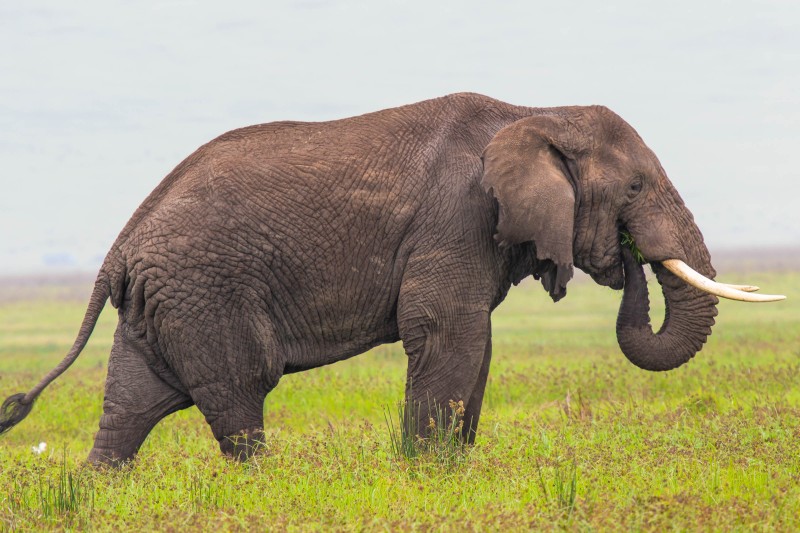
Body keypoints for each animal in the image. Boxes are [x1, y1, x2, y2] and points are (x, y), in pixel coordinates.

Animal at [0, 92, 788, 466]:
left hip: (164, 301)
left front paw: (452, 469)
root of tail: (121, 243)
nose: (625, 257)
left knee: (130, 406)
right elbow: (446, 330)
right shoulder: (458, 216)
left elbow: (478, 344)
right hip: (204, 293)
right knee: (238, 399)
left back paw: (98, 491)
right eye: (633, 188)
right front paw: (426, 472)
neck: (535, 110)